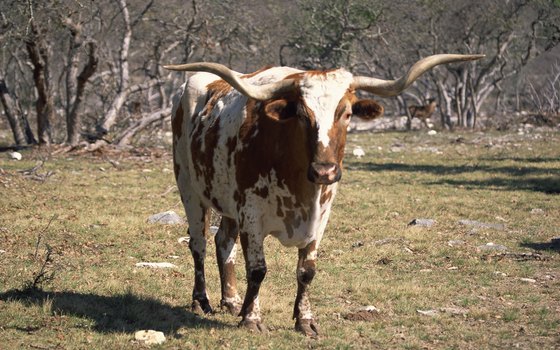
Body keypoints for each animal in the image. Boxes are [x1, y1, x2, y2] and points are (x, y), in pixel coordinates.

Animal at [164, 52, 484, 336]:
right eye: (302, 115)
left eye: (347, 113)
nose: (324, 171)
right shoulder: (251, 213)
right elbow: (257, 270)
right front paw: (252, 319)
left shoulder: (321, 215)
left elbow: (307, 271)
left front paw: (304, 321)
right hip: (189, 189)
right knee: (199, 245)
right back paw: (201, 300)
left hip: (227, 201)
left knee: (223, 242)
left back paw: (231, 302)